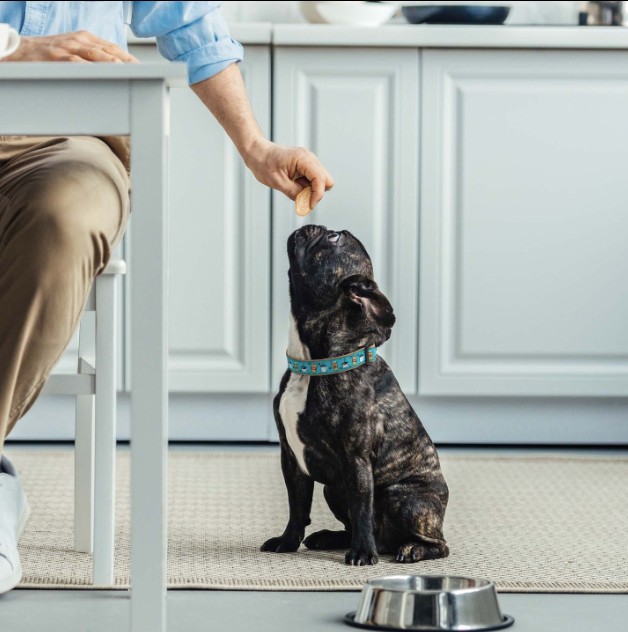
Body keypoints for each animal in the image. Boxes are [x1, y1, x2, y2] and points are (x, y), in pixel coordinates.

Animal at [262, 225, 452, 564]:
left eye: (333, 238)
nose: (314, 226)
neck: (314, 362)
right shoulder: (291, 459)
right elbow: (297, 507)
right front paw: (287, 542)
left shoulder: (356, 458)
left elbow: (362, 505)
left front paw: (362, 553)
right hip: (333, 490)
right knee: (353, 522)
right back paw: (331, 537)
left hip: (402, 498)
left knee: (438, 544)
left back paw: (410, 548)